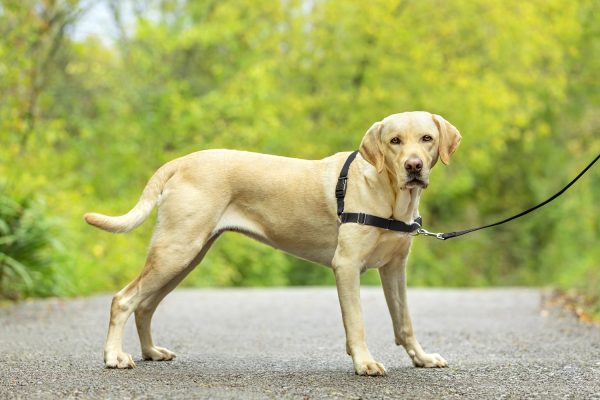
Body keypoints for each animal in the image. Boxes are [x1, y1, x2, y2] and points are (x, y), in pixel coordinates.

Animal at [84, 110, 460, 376]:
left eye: (426, 138)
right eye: (394, 140)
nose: (414, 166)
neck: (389, 192)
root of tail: (181, 162)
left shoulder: (395, 269)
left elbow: (404, 321)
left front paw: (421, 358)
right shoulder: (346, 266)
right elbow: (357, 322)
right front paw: (364, 362)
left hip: (186, 257)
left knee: (145, 305)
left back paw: (151, 352)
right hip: (176, 251)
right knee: (123, 299)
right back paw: (114, 356)